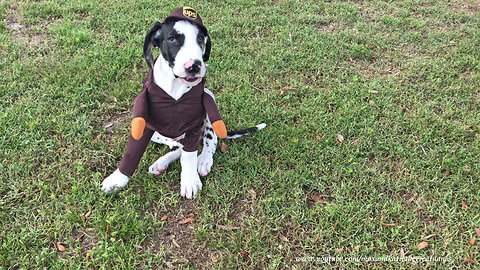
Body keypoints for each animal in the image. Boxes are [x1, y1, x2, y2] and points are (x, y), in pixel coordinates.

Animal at [101, 7, 266, 199]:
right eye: (172, 39)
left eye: (200, 38)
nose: (193, 65)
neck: (175, 88)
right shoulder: (144, 123)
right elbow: (132, 153)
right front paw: (117, 179)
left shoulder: (194, 123)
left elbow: (189, 155)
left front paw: (189, 181)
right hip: (156, 133)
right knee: (178, 145)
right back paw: (161, 162)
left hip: (209, 103)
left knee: (209, 140)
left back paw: (203, 160)